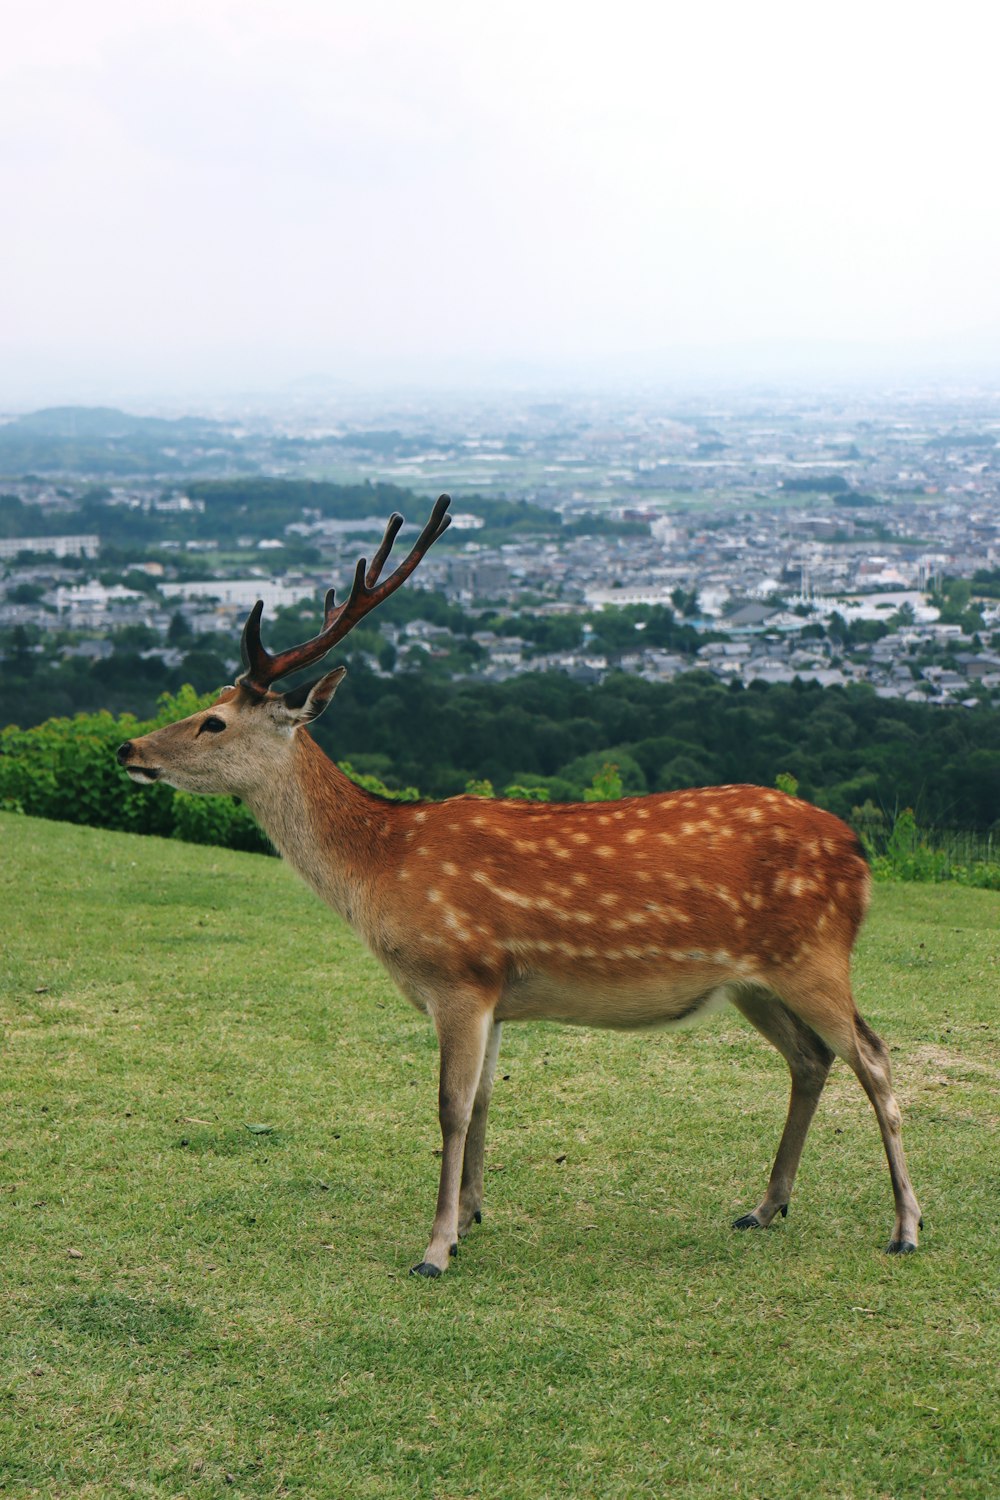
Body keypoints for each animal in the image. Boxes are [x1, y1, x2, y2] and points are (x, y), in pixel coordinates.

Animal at [117, 498, 923, 1272]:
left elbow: (448, 1108)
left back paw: (906, 1227)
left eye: (213, 722)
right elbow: (481, 1105)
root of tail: (857, 853)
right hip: (754, 981)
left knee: (876, 1057)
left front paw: (435, 1247)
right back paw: (765, 1206)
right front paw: (472, 1217)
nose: (128, 748)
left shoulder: (459, 974)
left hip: (815, 957)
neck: (378, 868)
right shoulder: (496, 995)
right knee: (811, 1059)